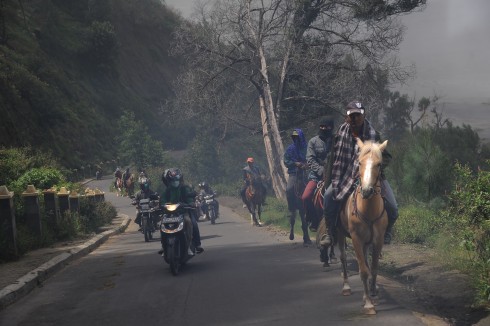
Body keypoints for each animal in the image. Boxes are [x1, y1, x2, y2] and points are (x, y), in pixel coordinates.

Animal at [336, 139, 386, 314]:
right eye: (359, 163)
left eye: (379, 164)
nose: (366, 191)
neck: (368, 211)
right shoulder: (356, 239)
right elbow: (363, 271)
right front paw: (369, 305)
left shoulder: (378, 240)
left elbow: (374, 268)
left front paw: (372, 295)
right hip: (340, 233)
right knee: (343, 258)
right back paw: (346, 287)